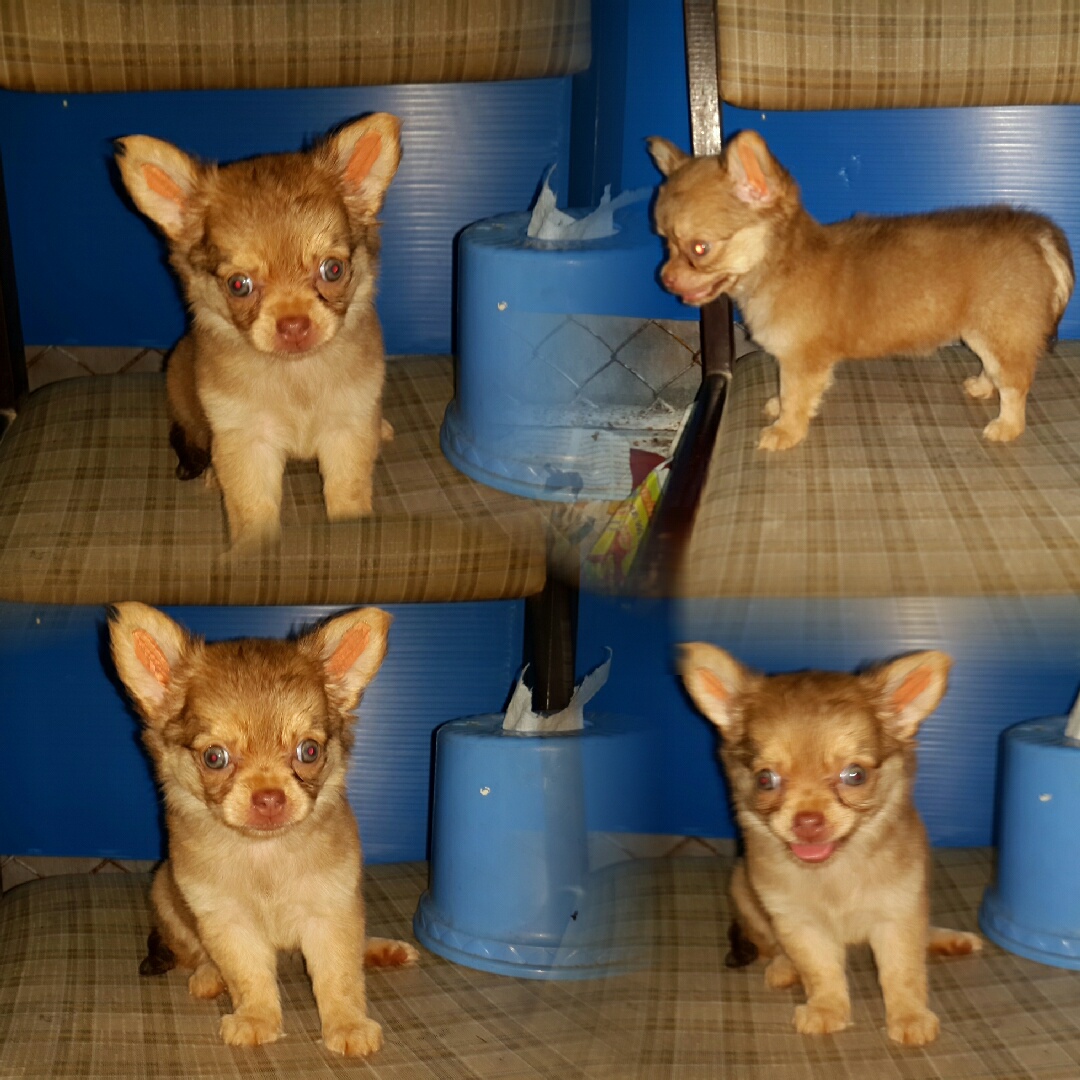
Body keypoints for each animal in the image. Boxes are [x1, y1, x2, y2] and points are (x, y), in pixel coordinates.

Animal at [109, 602, 418, 1056]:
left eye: (309, 751)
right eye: (215, 757)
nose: (269, 797)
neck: (264, 855)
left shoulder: (332, 912)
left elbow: (339, 976)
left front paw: (347, 1025)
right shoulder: (227, 921)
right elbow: (248, 976)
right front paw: (257, 1019)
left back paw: (384, 950)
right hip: (166, 895)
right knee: (194, 954)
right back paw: (208, 976)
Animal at [115, 114, 401, 548]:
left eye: (332, 270)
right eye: (239, 285)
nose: (294, 324)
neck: (295, 377)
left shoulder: (348, 430)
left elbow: (347, 493)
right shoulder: (247, 442)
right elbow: (252, 509)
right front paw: (254, 550)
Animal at [649, 130, 1074, 450]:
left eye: (699, 249)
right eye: (664, 241)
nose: (664, 279)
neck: (781, 266)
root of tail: (1037, 235)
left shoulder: (803, 362)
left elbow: (796, 398)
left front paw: (785, 431)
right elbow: (789, 394)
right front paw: (778, 408)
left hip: (1000, 331)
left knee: (1015, 383)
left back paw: (1007, 426)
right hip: (981, 332)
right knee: (994, 368)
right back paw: (983, 387)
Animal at [677, 644, 981, 1045]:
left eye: (855, 775)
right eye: (765, 779)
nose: (808, 821)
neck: (833, 872)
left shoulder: (897, 915)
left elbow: (903, 971)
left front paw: (910, 1016)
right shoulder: (798, 923)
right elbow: (820, 970)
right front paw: (827, 1010)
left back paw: (951, 940)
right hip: (744, 892)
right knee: (773, 946)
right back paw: (783, 967)